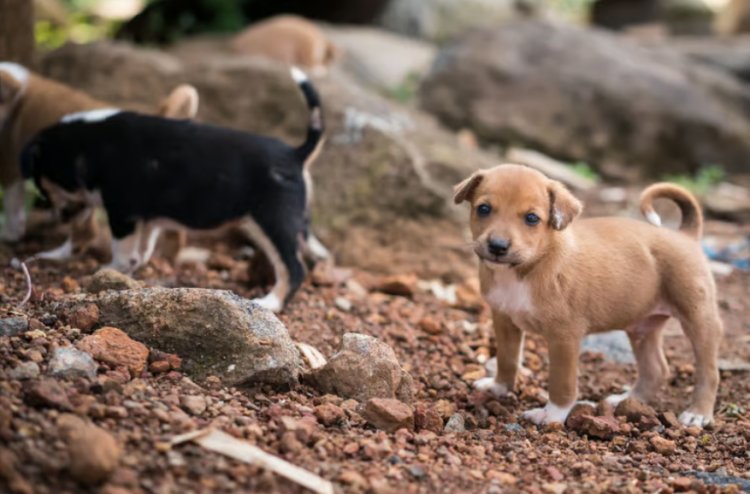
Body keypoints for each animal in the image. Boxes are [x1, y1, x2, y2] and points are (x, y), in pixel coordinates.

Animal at [22, 67, 328, 310]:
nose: (59, 217)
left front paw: (108, 270)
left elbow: (121, 248)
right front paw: (132, 269)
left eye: (43, 183)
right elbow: (142, 249)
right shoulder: (146, 218)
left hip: (273, 221)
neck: (87, 145)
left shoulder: (122, 212)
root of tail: (296, 153)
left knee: (294, 268)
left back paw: (270, 303)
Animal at [456, 165, 724, 428]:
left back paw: (697, 413)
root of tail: (685, 235)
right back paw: (627, 400)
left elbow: (562, 383)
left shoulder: (564, 336)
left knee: (709, 372)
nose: (497, 246)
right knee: (656, 369)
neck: (528, 268)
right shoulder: (504, 320)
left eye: (532, 218)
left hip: (699, 319)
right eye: (483, 209)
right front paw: (499, 387)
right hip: (642, 327)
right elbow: (507, 358)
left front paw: (551, 415)